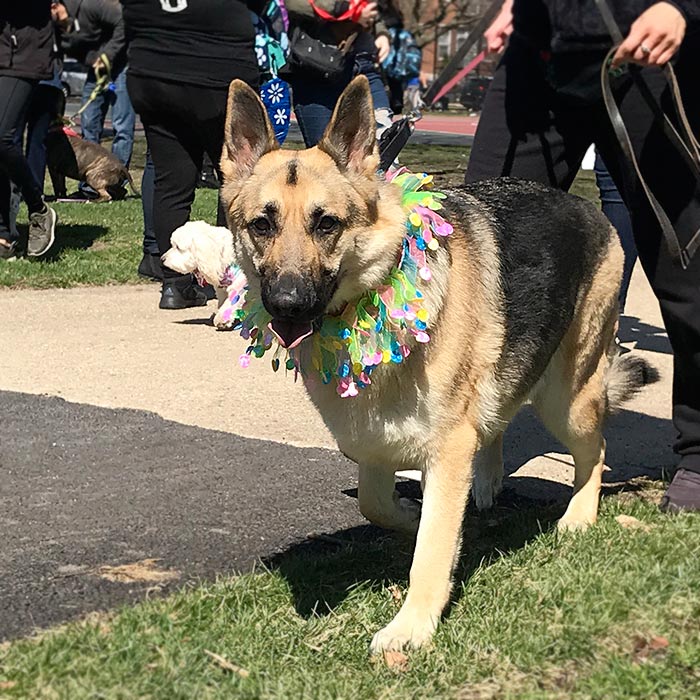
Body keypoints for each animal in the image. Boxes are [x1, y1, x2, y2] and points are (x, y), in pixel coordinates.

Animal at [217, 75, 656, 652]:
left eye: (326, 224)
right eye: (262, 225)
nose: (287, 304)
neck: (378, 292)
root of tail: (591, 210)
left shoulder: (446, 448)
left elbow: (431, 547)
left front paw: (412, 626)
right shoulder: (373, 436)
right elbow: (375, 502)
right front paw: (408, 514)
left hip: (569, 399)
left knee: (595, 450)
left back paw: (579, 516)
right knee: (499, 422)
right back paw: (487, 483)